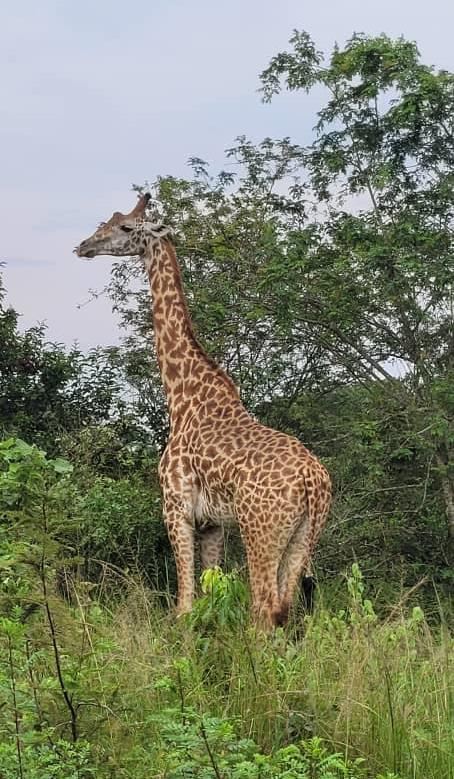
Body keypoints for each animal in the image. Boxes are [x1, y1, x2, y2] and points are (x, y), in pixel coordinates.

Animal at [75, 194, 331, 629]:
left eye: (125, 227)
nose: (84, 246)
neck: (183, 396)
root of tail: (314, 482)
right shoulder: (212, 523)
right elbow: (210, 595)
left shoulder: (175, 507)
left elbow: (184, 604)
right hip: (305, 535)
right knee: (284, 609)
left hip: (260, 530)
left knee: (264, 607)